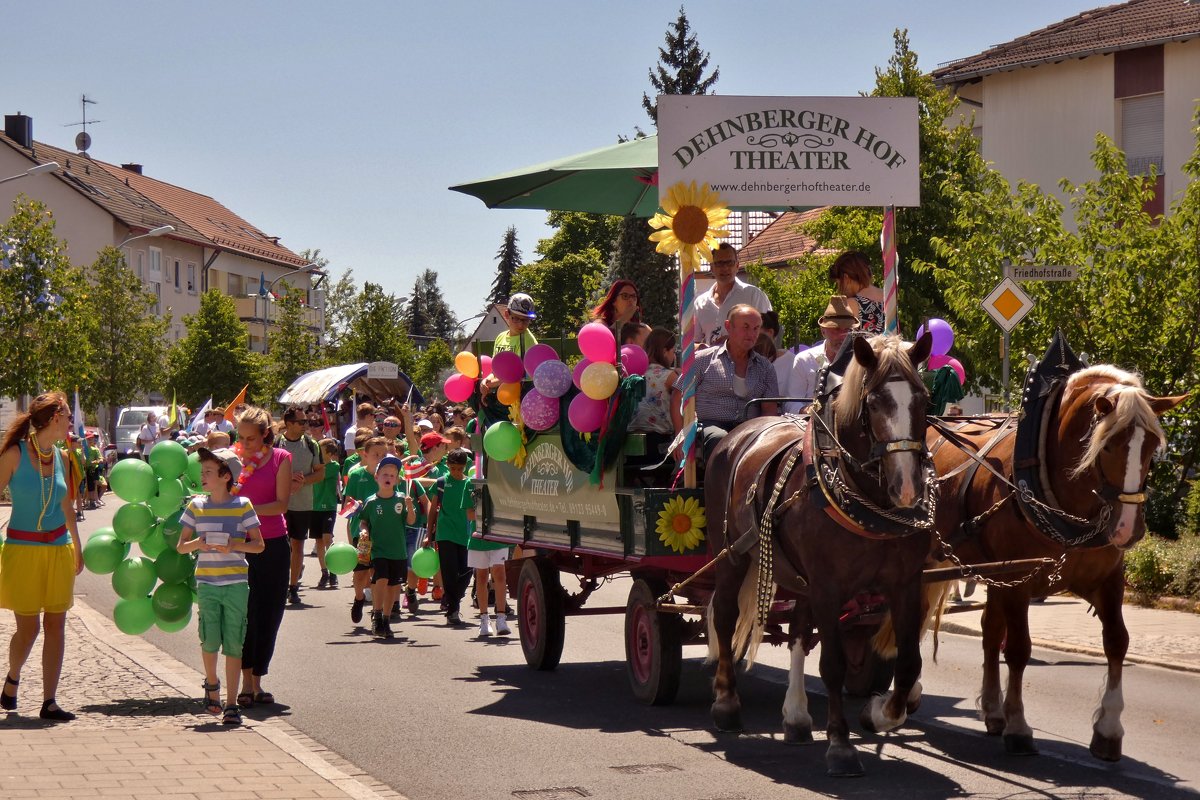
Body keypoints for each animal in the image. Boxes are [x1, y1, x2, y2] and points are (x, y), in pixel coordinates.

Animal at [705, 333, 931, 777]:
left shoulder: (904, 585)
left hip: (795, 571)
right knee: (723, 615)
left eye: (923, 400)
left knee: (796, 631)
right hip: (732, 555)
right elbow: (833, 665)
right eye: (873, 403)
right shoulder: (829, 586)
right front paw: (841, 745)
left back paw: (796, 717)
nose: (907, 488)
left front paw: (878, 713)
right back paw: (726, 703)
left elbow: (908, 662)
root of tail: (738, 432)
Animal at [921, 362, 1185, 762]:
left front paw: (1108, 729)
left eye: (1153, 447)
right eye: (1107, 444)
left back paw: (991, 710)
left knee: (988, 631)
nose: (1128, 528)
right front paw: (1018, 726)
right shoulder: (1018, 578)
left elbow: (1117, 642)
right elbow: (1018, 650)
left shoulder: (1108, 579)